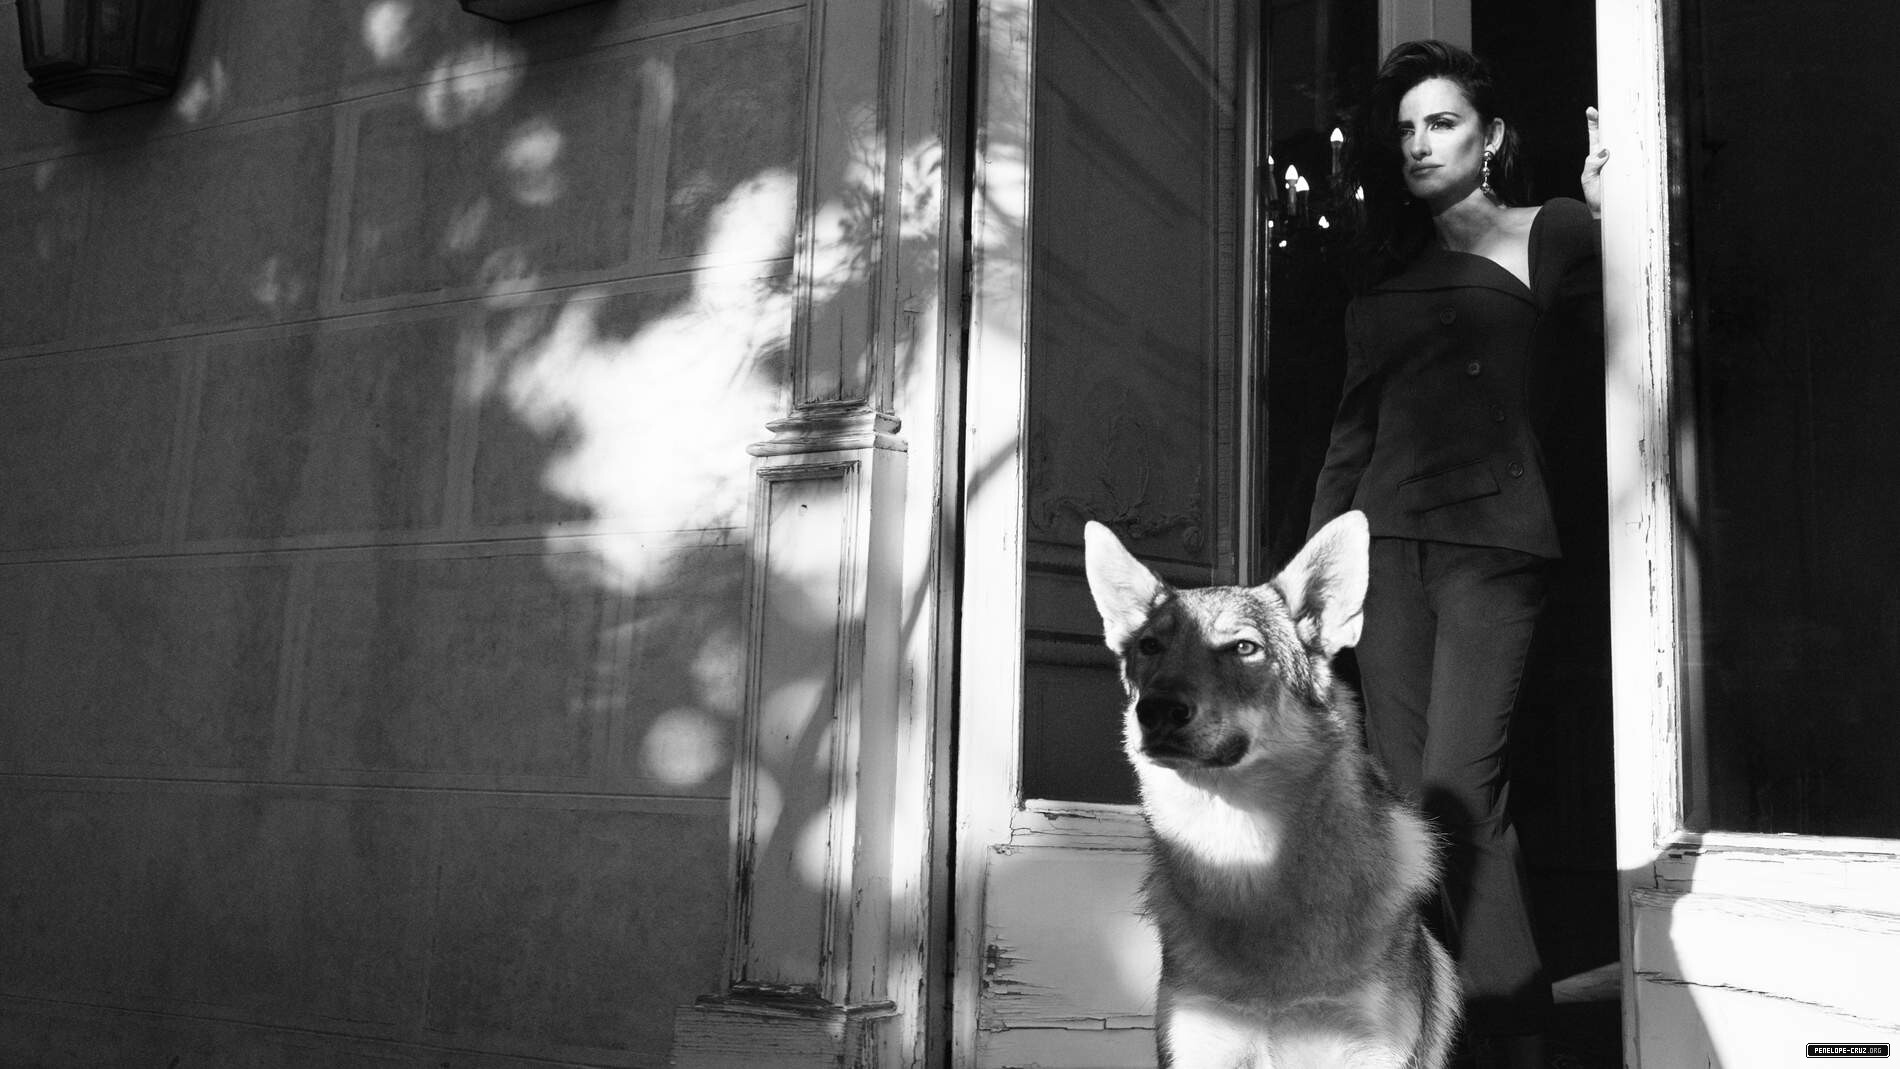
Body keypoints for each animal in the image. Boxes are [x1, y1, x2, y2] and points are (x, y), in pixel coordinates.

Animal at [1083, 511, 1458, 1068]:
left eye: (1243, 648)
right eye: (1151, 647)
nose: (1155, 711)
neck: (1247, 863)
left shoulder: (1370, 1053)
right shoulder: (1199, 1047)